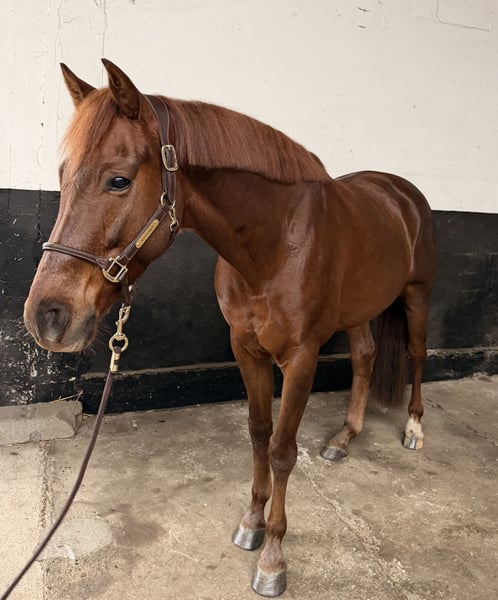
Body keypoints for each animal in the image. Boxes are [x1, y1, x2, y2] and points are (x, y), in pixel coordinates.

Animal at [23, 60, 436, 597]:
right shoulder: (246, 347)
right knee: (366, 356)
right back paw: (344, 438)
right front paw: (252, 524)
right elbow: (259, 434)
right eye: (62, 175)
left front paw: (274, 558)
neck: (277, 243)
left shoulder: (301, 357)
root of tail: (402, 192)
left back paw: (413, 429)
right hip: (362, 306)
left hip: (416, 296)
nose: (46, 316)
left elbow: (282, 450)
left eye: (118, 180)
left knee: (416, 355)